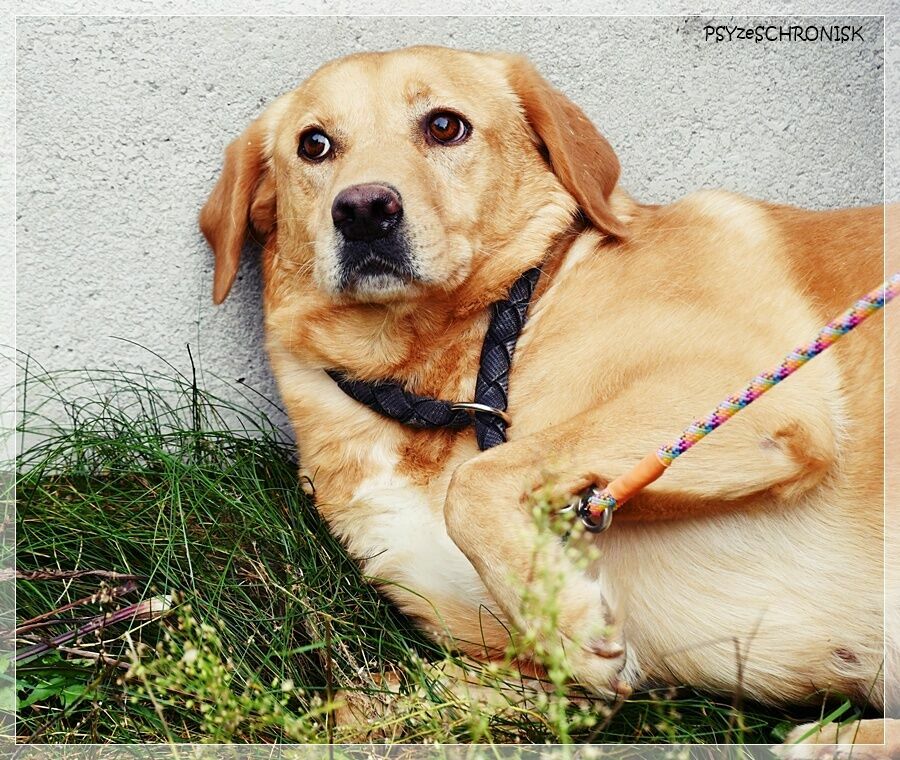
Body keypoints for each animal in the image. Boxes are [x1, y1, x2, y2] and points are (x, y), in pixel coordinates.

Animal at [199, 46, 894, 750]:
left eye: (445, 126)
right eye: (314, 144)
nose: (364, 209)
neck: (432, 389)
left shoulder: (748, 392)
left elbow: (476, 481)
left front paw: (565, 620)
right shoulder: (546, 684)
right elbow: (364, 708)